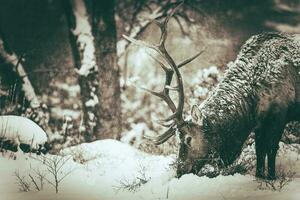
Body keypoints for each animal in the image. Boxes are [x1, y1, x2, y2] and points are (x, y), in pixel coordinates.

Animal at [123, 3, 300, 179]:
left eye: (188, 139)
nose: (180, 171)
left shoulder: (279, 115)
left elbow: (271, 150)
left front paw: (271, 177)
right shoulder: (260, 124)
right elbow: (260, 152)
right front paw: (259, 176)